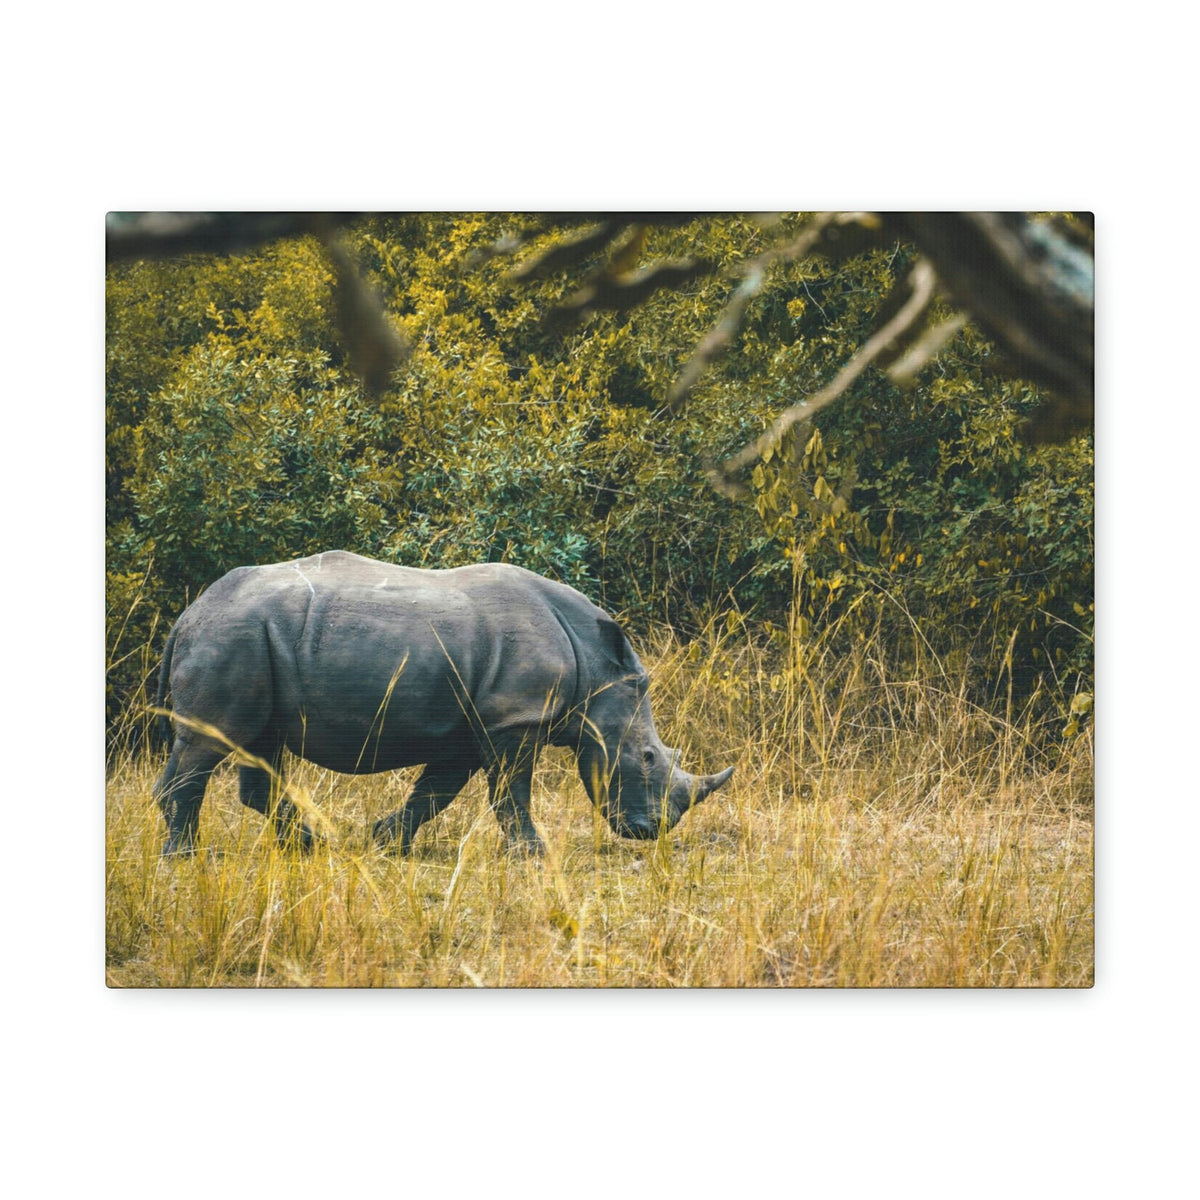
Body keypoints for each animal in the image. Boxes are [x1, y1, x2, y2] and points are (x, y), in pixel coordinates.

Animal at [153, 550, 734, 857]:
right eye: (649, 758)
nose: (651, 832)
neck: (597, 667)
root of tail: (188, 615)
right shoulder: (515, 719)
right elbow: (510, 793)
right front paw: (533, 854)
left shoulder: (476, 725)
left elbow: (436, 792)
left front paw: (386, 841)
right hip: (232, 636)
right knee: (209, 743)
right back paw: (186, 858)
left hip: (251, 639)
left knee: (261, 747)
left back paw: (310, 847)